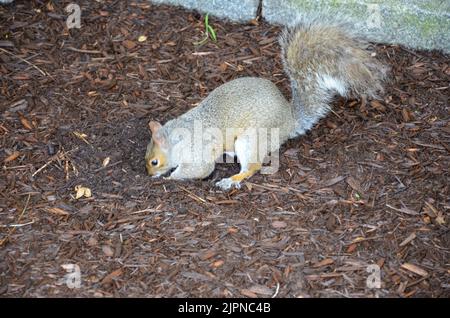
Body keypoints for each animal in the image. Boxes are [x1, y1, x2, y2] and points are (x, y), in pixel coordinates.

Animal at [146, 14, 388, 190]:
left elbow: (198, 170)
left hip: (251, 138)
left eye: (154, 162)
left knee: (252, 166)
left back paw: (232, 180)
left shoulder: (197, 151)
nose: (149, 174)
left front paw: (169, 178)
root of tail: (288, 121)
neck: (176, 137)